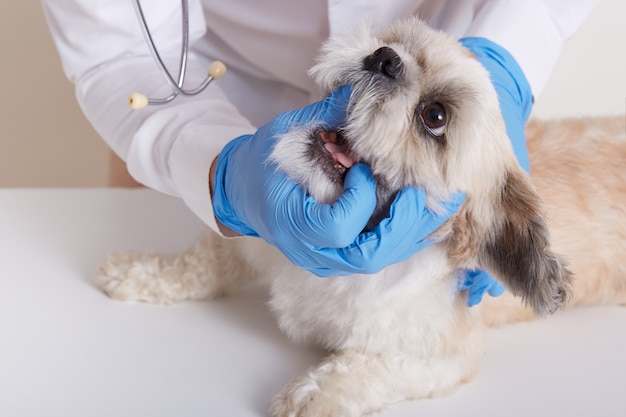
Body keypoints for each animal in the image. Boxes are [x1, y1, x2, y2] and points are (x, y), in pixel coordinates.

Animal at [96, 16, 624, 416]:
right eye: (397, 42)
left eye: (435, 117)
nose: (385, 58)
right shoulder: (251, 236)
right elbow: (198, 262)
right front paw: (140, 271)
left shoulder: (440, 356)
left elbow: (367, 367)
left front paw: (312, 393)